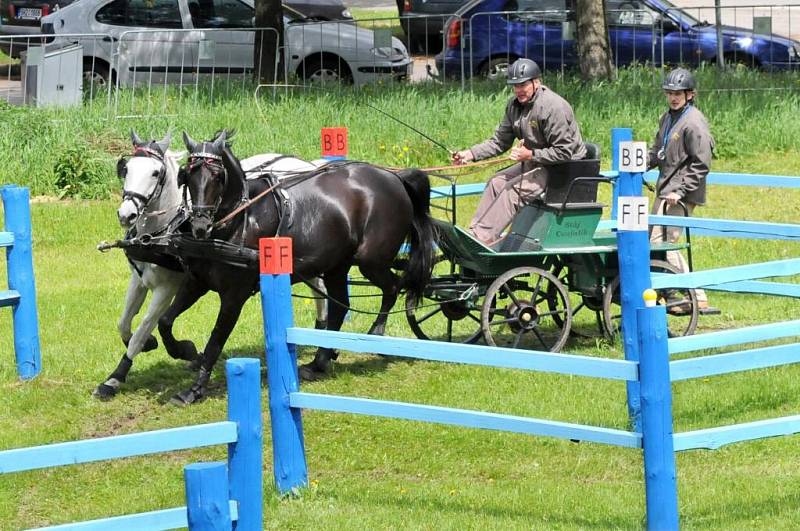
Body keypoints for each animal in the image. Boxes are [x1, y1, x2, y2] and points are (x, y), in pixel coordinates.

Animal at [94, 133, 328, 400]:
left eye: (156, 173)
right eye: (126, 169)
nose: (126, 215)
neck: (165, 230)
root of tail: (307, 164)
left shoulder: (167, 288)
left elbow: (144, 327)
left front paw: (117, 377)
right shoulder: (139, 279)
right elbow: (124, 323)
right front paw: (147, 349)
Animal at [159, 131, 434, 406]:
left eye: (217, 175)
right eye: (188, 174)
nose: (200, 226)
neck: (238, 221)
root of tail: (394, 177)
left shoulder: (234, 295)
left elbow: (216, 340)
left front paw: (194, 390)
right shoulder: (197, 282)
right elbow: (165, 321)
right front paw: (185, 350)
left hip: (371, 261)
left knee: (393, 287)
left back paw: (376, 333)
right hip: (337, 266)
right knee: (339, 307)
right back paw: (319, 362)